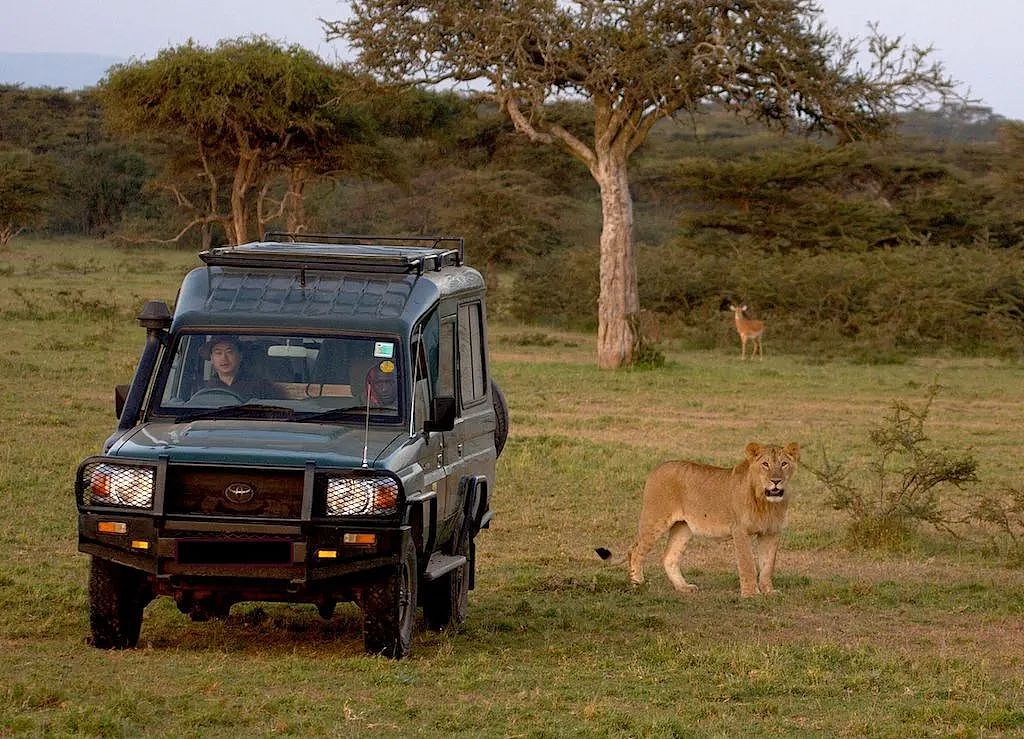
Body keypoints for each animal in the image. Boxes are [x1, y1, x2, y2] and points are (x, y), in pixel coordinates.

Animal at [598, 440, 798, 597]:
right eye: (765, 464)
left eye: (784, 464)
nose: (776, 481)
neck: (767, 503)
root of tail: (657, 467)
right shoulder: (740, 530)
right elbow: (747, 562)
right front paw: (751, 594)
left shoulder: (772, 532)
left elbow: (767, 564)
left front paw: (769, 591)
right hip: (655, 519)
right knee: (636, 551)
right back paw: (638, 584)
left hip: (683, 527)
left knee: (669, 557)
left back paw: (683, 587)